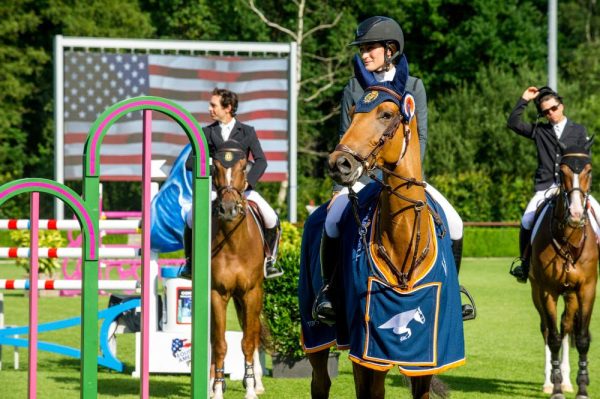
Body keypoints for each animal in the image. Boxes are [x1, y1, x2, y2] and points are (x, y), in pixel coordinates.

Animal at [300, 54, 464, 398]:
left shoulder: (429, 354)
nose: (339, 164)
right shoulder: (367, 350)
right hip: (316, 332)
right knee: (320, 382)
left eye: (386, 114)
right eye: (352, 114)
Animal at [532, 142, 596, 398]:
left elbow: (582, 339)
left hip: (571, 295)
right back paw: (550, 381)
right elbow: (554, 339)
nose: (577, 214)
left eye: (589, 171)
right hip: (537, 292)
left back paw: (568, 381)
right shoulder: (547, 290)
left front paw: (582, 388)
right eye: (563, 171)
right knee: (548, 330)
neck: (570, 238)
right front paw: (556, 387)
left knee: (567, 326)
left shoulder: (586, 290)